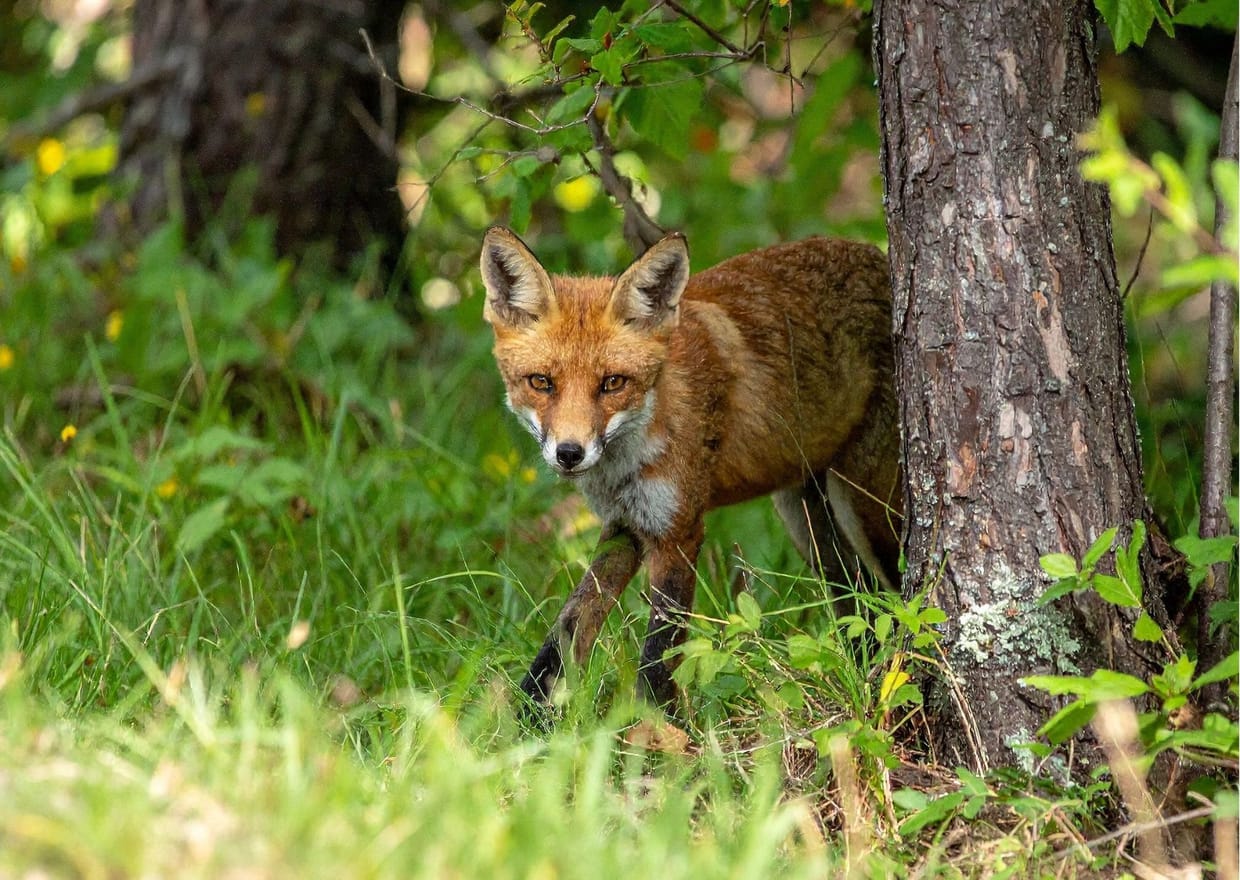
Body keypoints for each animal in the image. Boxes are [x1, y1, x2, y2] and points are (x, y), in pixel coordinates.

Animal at [480, 227, 902, 714]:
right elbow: (568, 626)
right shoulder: (625, 525)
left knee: (899, 595)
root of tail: (876, 256)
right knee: (860, 602)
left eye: (612, 383)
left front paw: (654, 730)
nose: (570, 453)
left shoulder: (678, 531)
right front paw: (526, 718)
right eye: (541, 382)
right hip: (807, 524)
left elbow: (659, 659)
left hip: (864, 509)